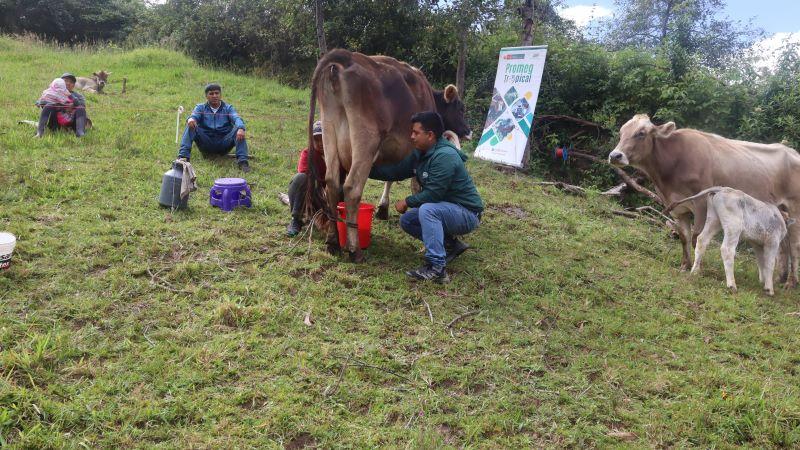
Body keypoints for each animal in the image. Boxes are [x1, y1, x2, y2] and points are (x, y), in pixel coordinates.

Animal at [304, 49, 468, 262]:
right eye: (461, 109)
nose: (468, 131)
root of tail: (347, 57)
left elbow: (390, 177)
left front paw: (383, 208)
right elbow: (416, 185)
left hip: (328, 130)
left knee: (331, 184)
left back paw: (333, 242)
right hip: (367, 139)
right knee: (351, 188)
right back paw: (354, 250)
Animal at [608, 114, 800, 286]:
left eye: (641, 133)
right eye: (621, 132)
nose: (615, 155)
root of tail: (792, 151)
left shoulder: (701, 203)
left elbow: (696, 237)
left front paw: (699, 269)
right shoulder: (677, 207)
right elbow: (684, 236)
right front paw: (684, 266)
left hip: (795, 207)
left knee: (794, 245)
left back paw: (791, 283)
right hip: (780, 211)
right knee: (783, 245)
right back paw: (779, 279)